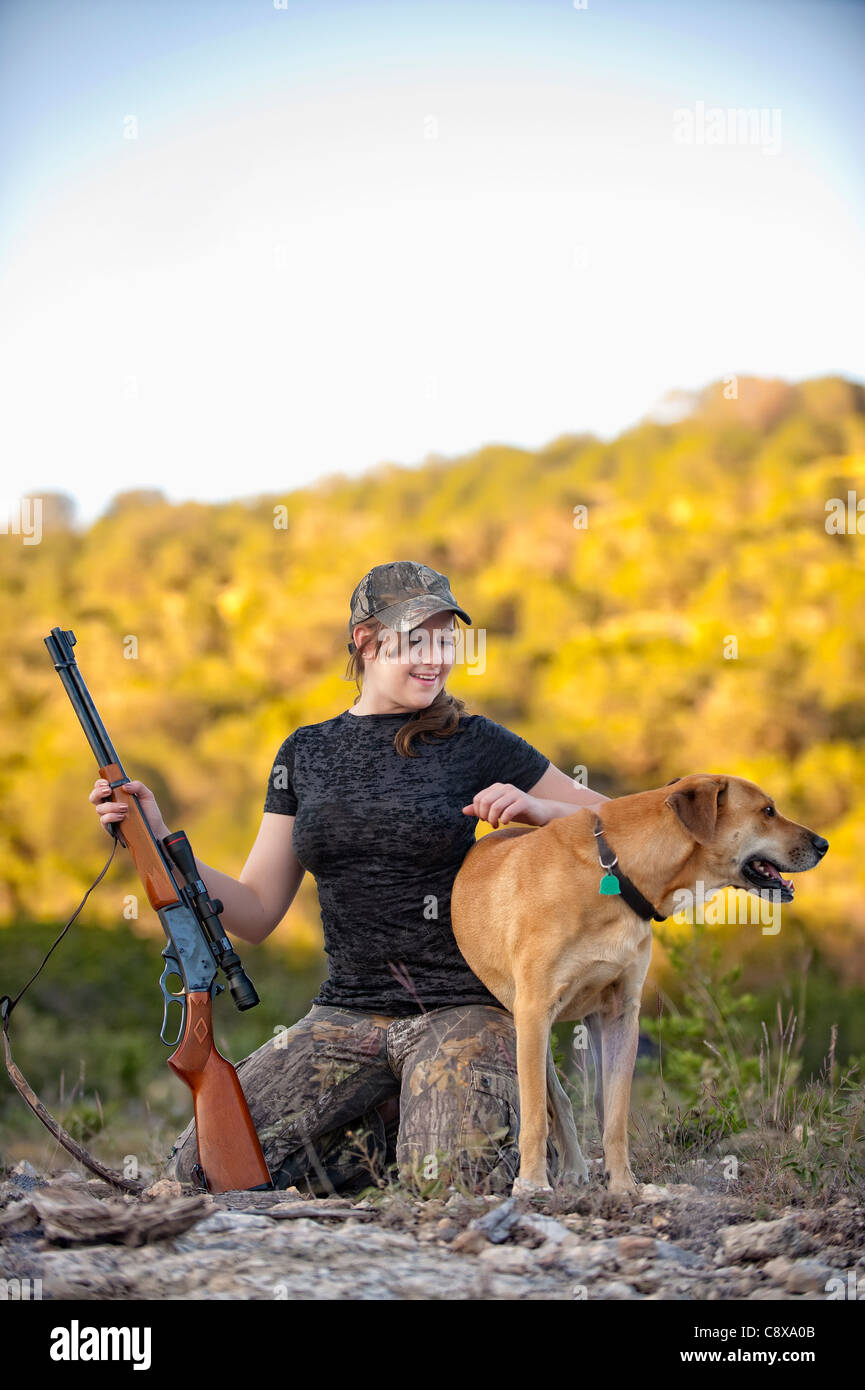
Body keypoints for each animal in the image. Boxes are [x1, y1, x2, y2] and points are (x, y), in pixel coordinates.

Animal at [450, 772, 828, 1195]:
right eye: (767, 811)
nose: (823, 844)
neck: (616, 873)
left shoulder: (620, 1014)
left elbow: (615, 1116)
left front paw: (622, 1185)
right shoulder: (535, 1010)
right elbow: (534, 1114)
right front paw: (532, 1183)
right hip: (527, 1028)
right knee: (556, 1099)